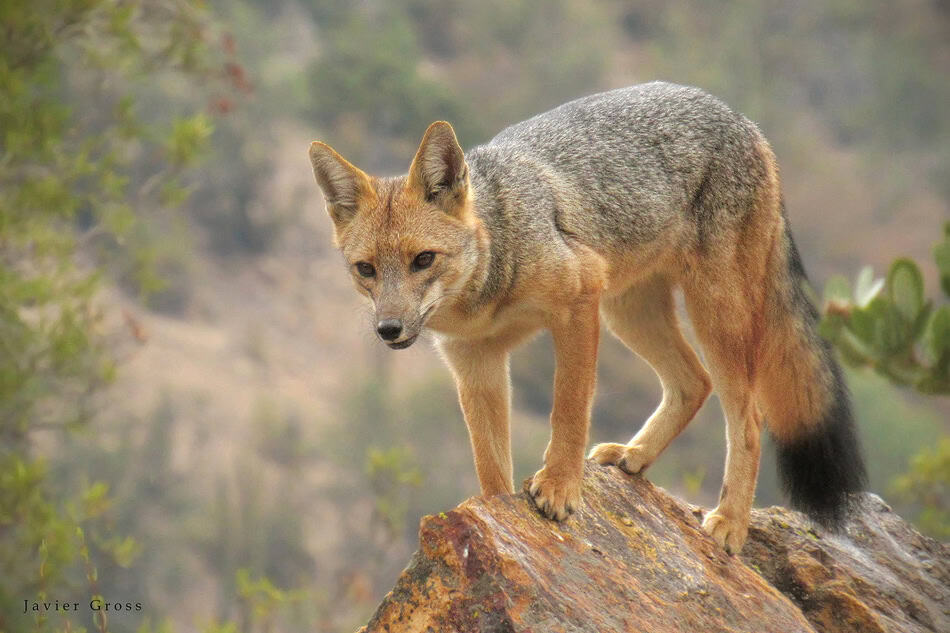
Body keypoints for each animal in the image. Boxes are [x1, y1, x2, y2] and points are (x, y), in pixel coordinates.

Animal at [308, 81, 866, 553]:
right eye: (366, 270)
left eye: (423, 259)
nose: (389, 330)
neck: (486, 287)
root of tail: (741, 119)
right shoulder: (476, 363)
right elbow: (490, 466)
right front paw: (498, 519)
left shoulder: (577, 305)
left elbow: (569, 408)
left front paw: (558, 487)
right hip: (631, 313)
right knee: (693, 382)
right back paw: (634, 457)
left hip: (711, 313)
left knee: (747, 418)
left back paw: (730, 522)